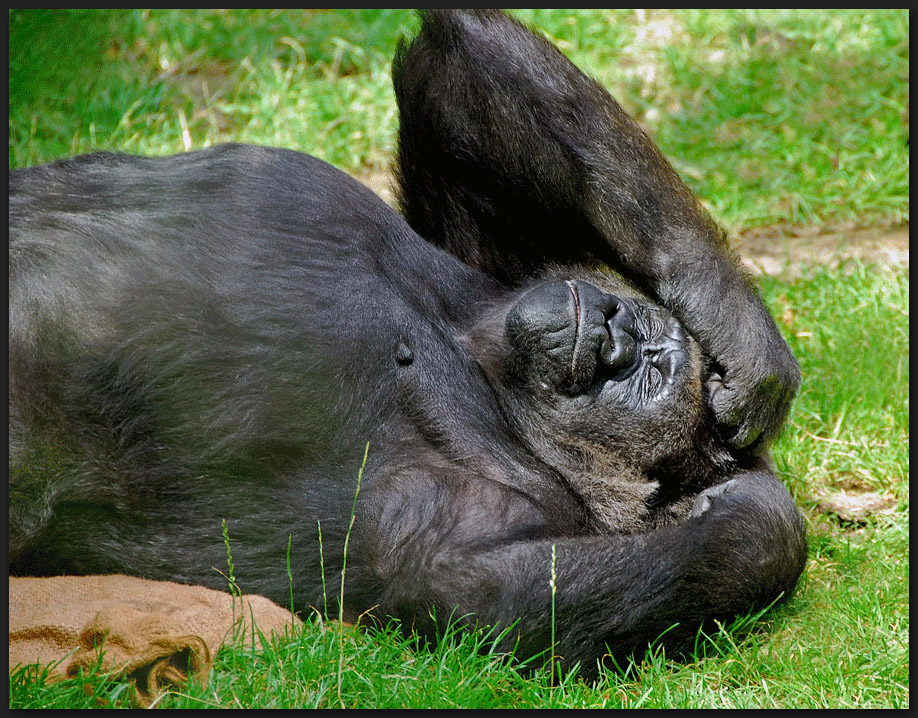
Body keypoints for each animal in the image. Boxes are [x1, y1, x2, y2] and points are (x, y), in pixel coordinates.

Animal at [10, 9, 808, 676]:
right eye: (652, 347)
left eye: (648, 373)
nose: (618, 330)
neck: (481, 367)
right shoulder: (495, 270)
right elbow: (453, 66)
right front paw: (731, 317)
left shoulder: (485, 522)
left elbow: (490, 601)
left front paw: (752, 507)